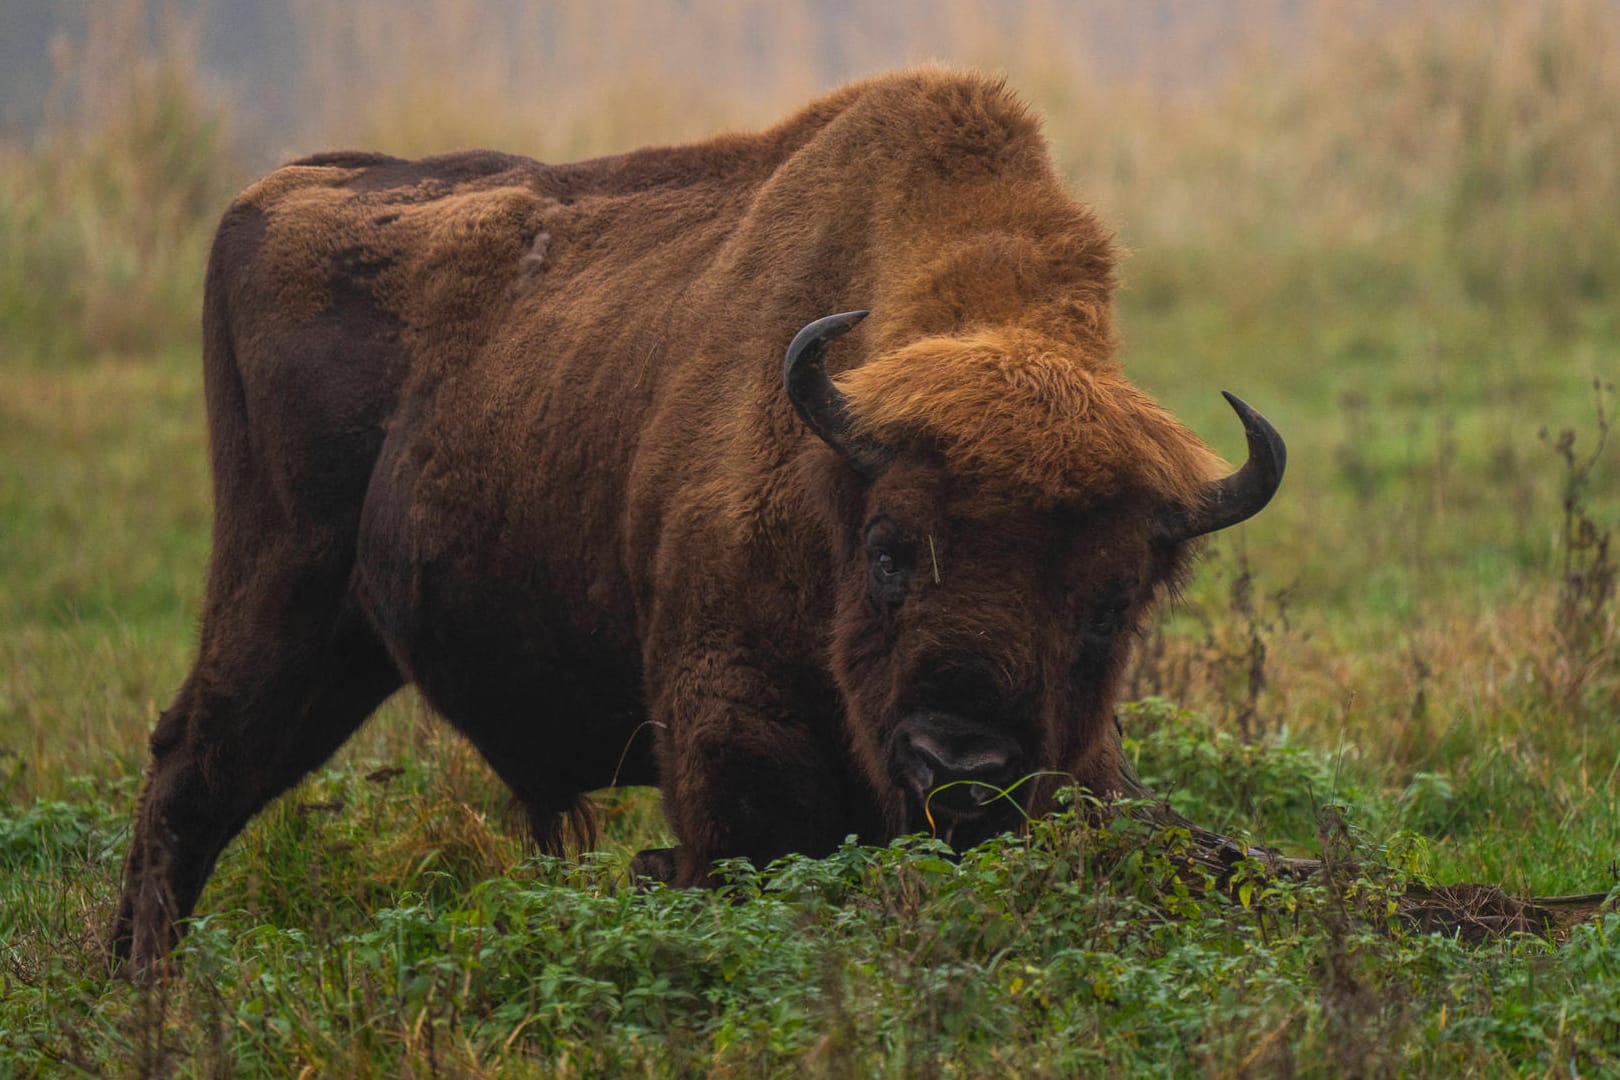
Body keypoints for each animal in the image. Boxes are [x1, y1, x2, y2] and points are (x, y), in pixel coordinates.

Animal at [110, 71, 1276, 965]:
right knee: (192, 768)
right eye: (889, 551)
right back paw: (142, 982)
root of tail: (274, 191)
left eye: (1112, 605)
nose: (960, 765)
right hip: (279, 590)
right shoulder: (734, 738)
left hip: (342, 641)